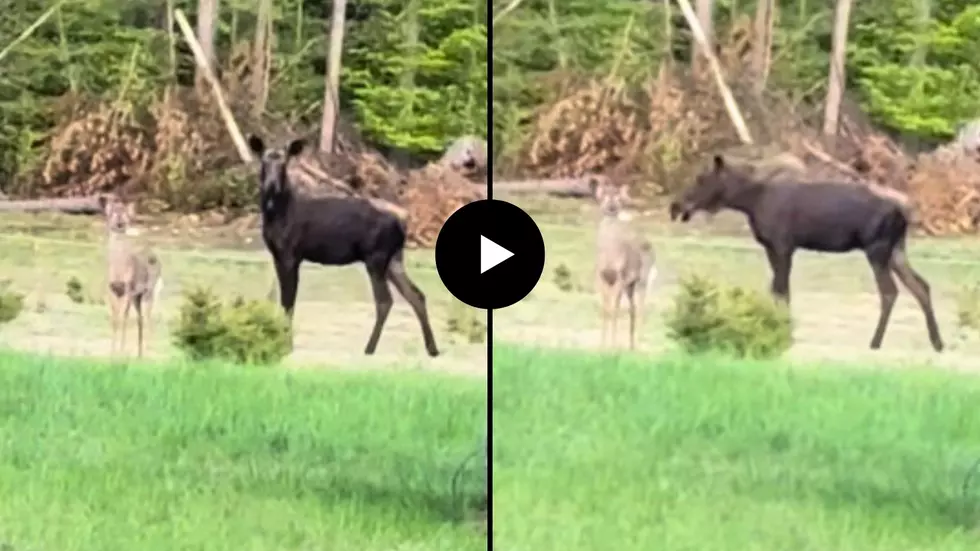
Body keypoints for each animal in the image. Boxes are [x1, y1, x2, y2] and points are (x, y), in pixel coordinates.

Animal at [99, 195, 164, 358]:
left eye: (125, 215)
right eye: (113, 213)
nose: (119, 222)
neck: (119, 268)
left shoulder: (128, 289)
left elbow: (124, 318)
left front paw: (121, 352)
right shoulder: (112, 290)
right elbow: (115, 319)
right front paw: (112, 352)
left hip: (150, 291)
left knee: (148, 319)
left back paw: (147, 352)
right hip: (137, 297)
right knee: (140, 319)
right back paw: (139, 354)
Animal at [247, 134, 440, 357]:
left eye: (284, 163)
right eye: (264, 161)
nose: (272, 185)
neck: (275, 215)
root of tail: (402, 227)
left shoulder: (291, 254)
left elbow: (289, 301)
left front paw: (286, 346)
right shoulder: (277, 255)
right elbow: (282, 299)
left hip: (376, 257)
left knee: (385, 300)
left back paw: (369, 348)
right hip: (394, 258)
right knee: (416, 295)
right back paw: (432, 349)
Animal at [589, 177, 658, 350]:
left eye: (619, 199)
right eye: (604, 196)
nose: (612, 207)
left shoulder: (620, 276)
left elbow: (614, 310)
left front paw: (612, 345)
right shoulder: (601, 277)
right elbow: (605, 309)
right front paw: (602, 344)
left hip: (642, 280)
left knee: (641, 308)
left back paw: (638, 343)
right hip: (630, 285)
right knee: (632, 308)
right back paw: (630, 345)